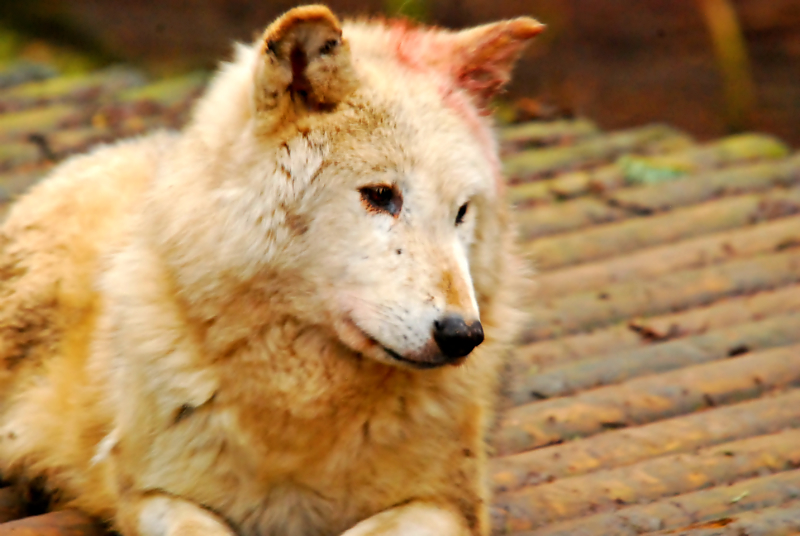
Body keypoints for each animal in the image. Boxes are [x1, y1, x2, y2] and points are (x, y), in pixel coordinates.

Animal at [0, 5, 540, 536]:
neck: (300, 404)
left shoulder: (453, 503)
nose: (462, 335)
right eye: (381, 195)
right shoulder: (149, 490)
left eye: (461, 211)